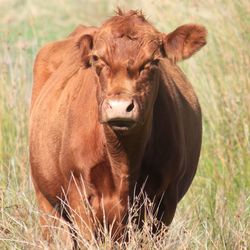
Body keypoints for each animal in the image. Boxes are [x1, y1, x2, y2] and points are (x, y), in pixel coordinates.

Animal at [28, 9, 207, 244]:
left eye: (153, 61)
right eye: (97, 59)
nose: (120, 107)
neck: (122, 159)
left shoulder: (165, 201)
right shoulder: (79, 199)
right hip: (46, 202)